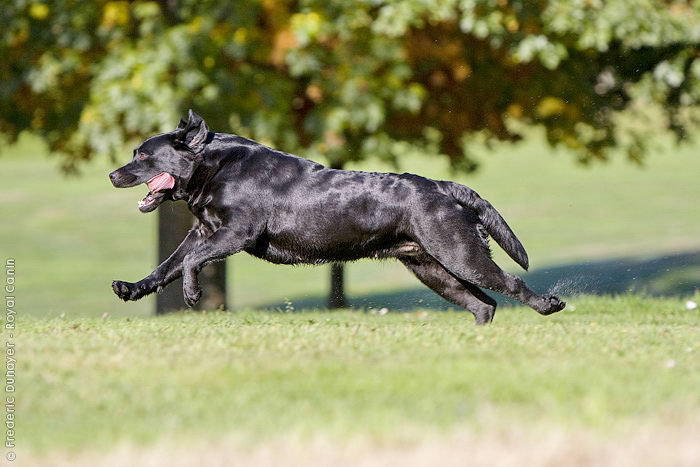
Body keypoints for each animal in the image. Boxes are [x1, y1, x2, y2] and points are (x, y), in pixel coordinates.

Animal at [110, 110, 568, 324]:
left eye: (142, 155)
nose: (112, 174)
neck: (214, 166)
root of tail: (442, 186)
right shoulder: (201, 232)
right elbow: (168, 264)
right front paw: (130, 288)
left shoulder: (237, 232)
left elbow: (189, 262)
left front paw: (192, 295)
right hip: (433, 269)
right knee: (483, 304)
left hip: (460, 254)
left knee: (509, 284)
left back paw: (550, 305)